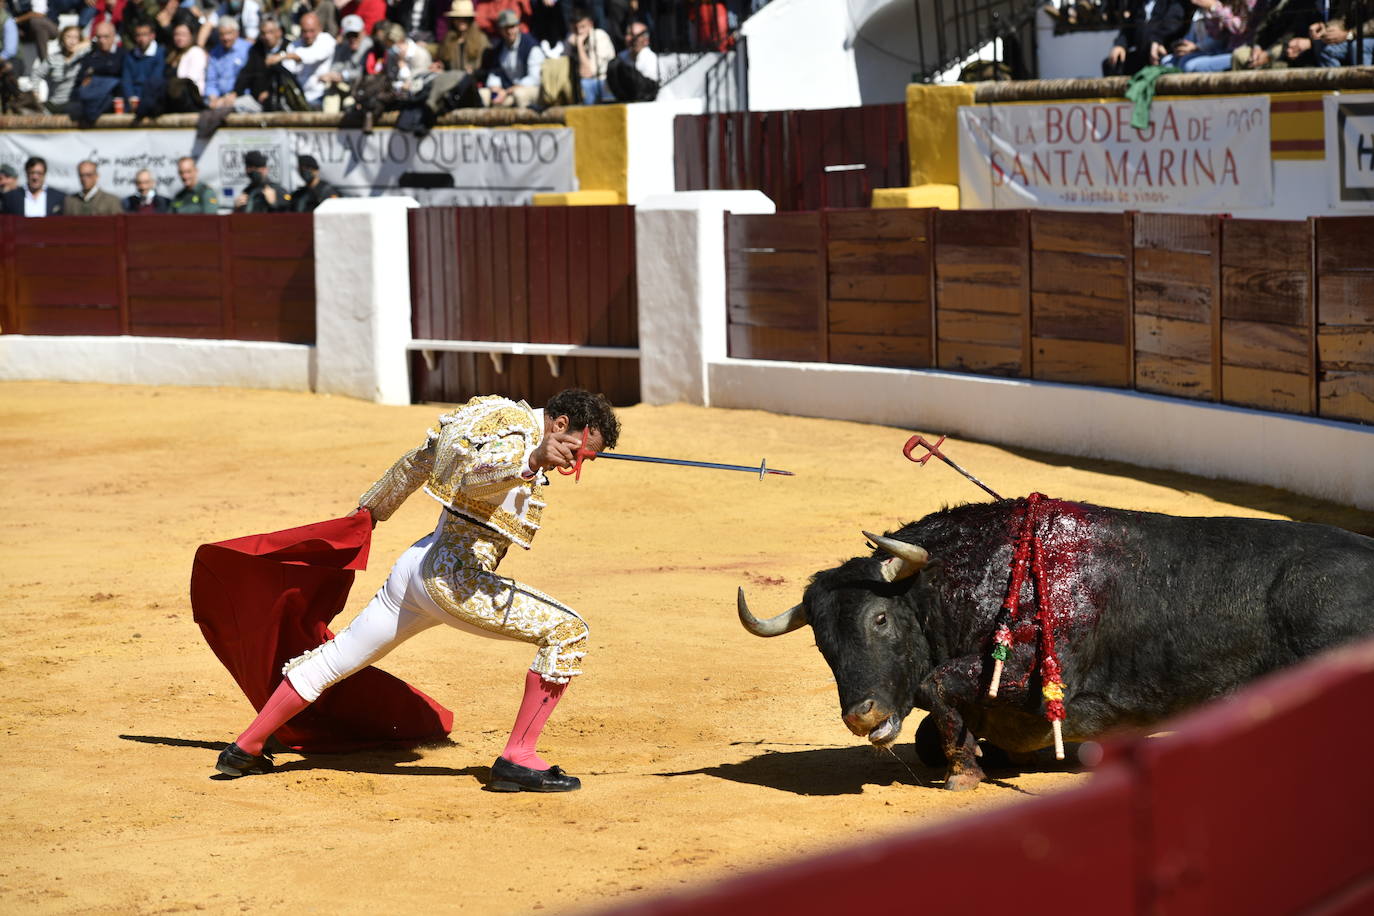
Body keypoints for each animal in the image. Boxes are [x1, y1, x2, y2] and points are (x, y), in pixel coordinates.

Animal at [741, 497, 1374, 791]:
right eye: (822, 642)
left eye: (880, 619)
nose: (861, 714)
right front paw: (976, 756)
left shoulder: (1043, 680)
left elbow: (935, 682)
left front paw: (964, 772)